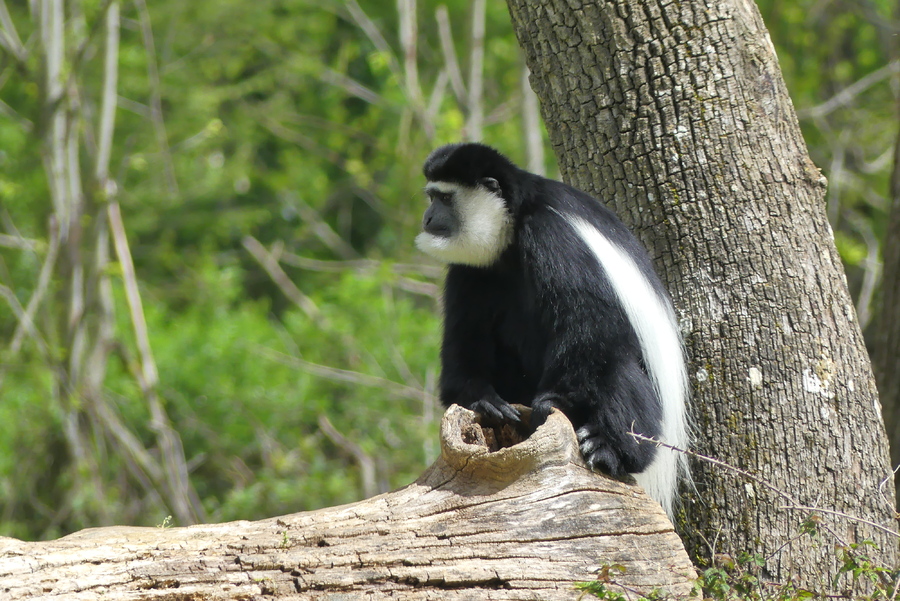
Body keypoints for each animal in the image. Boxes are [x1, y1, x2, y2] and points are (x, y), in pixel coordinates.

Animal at [414, 142, 688, 516]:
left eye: (443, 198)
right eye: (431, 197)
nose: (427, 219)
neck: (513, 226)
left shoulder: (552, 235)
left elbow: (590, 326)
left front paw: (553, 403)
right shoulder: (470, 269)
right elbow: (464, 345)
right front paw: (485, 401)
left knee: (617, 365)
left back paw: (610, 449)